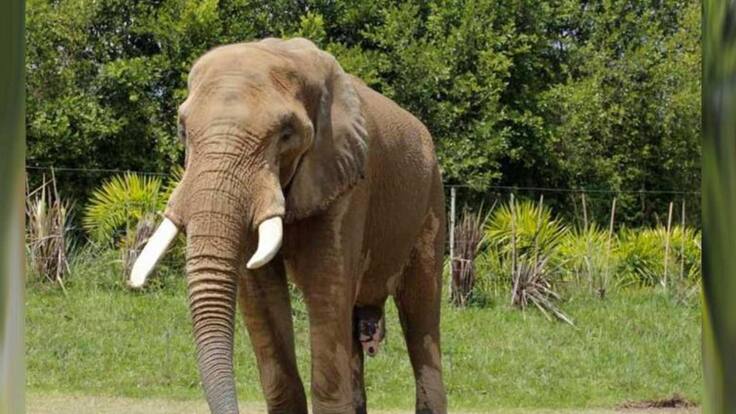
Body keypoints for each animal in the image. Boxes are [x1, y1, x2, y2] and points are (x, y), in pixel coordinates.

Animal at [130, 37, 447, 414]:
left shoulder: (346, 181)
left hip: (432, 200)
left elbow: (325, 289)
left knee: (421, 317)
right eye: (181, 130)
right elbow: (261, 293)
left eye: (286, 134)